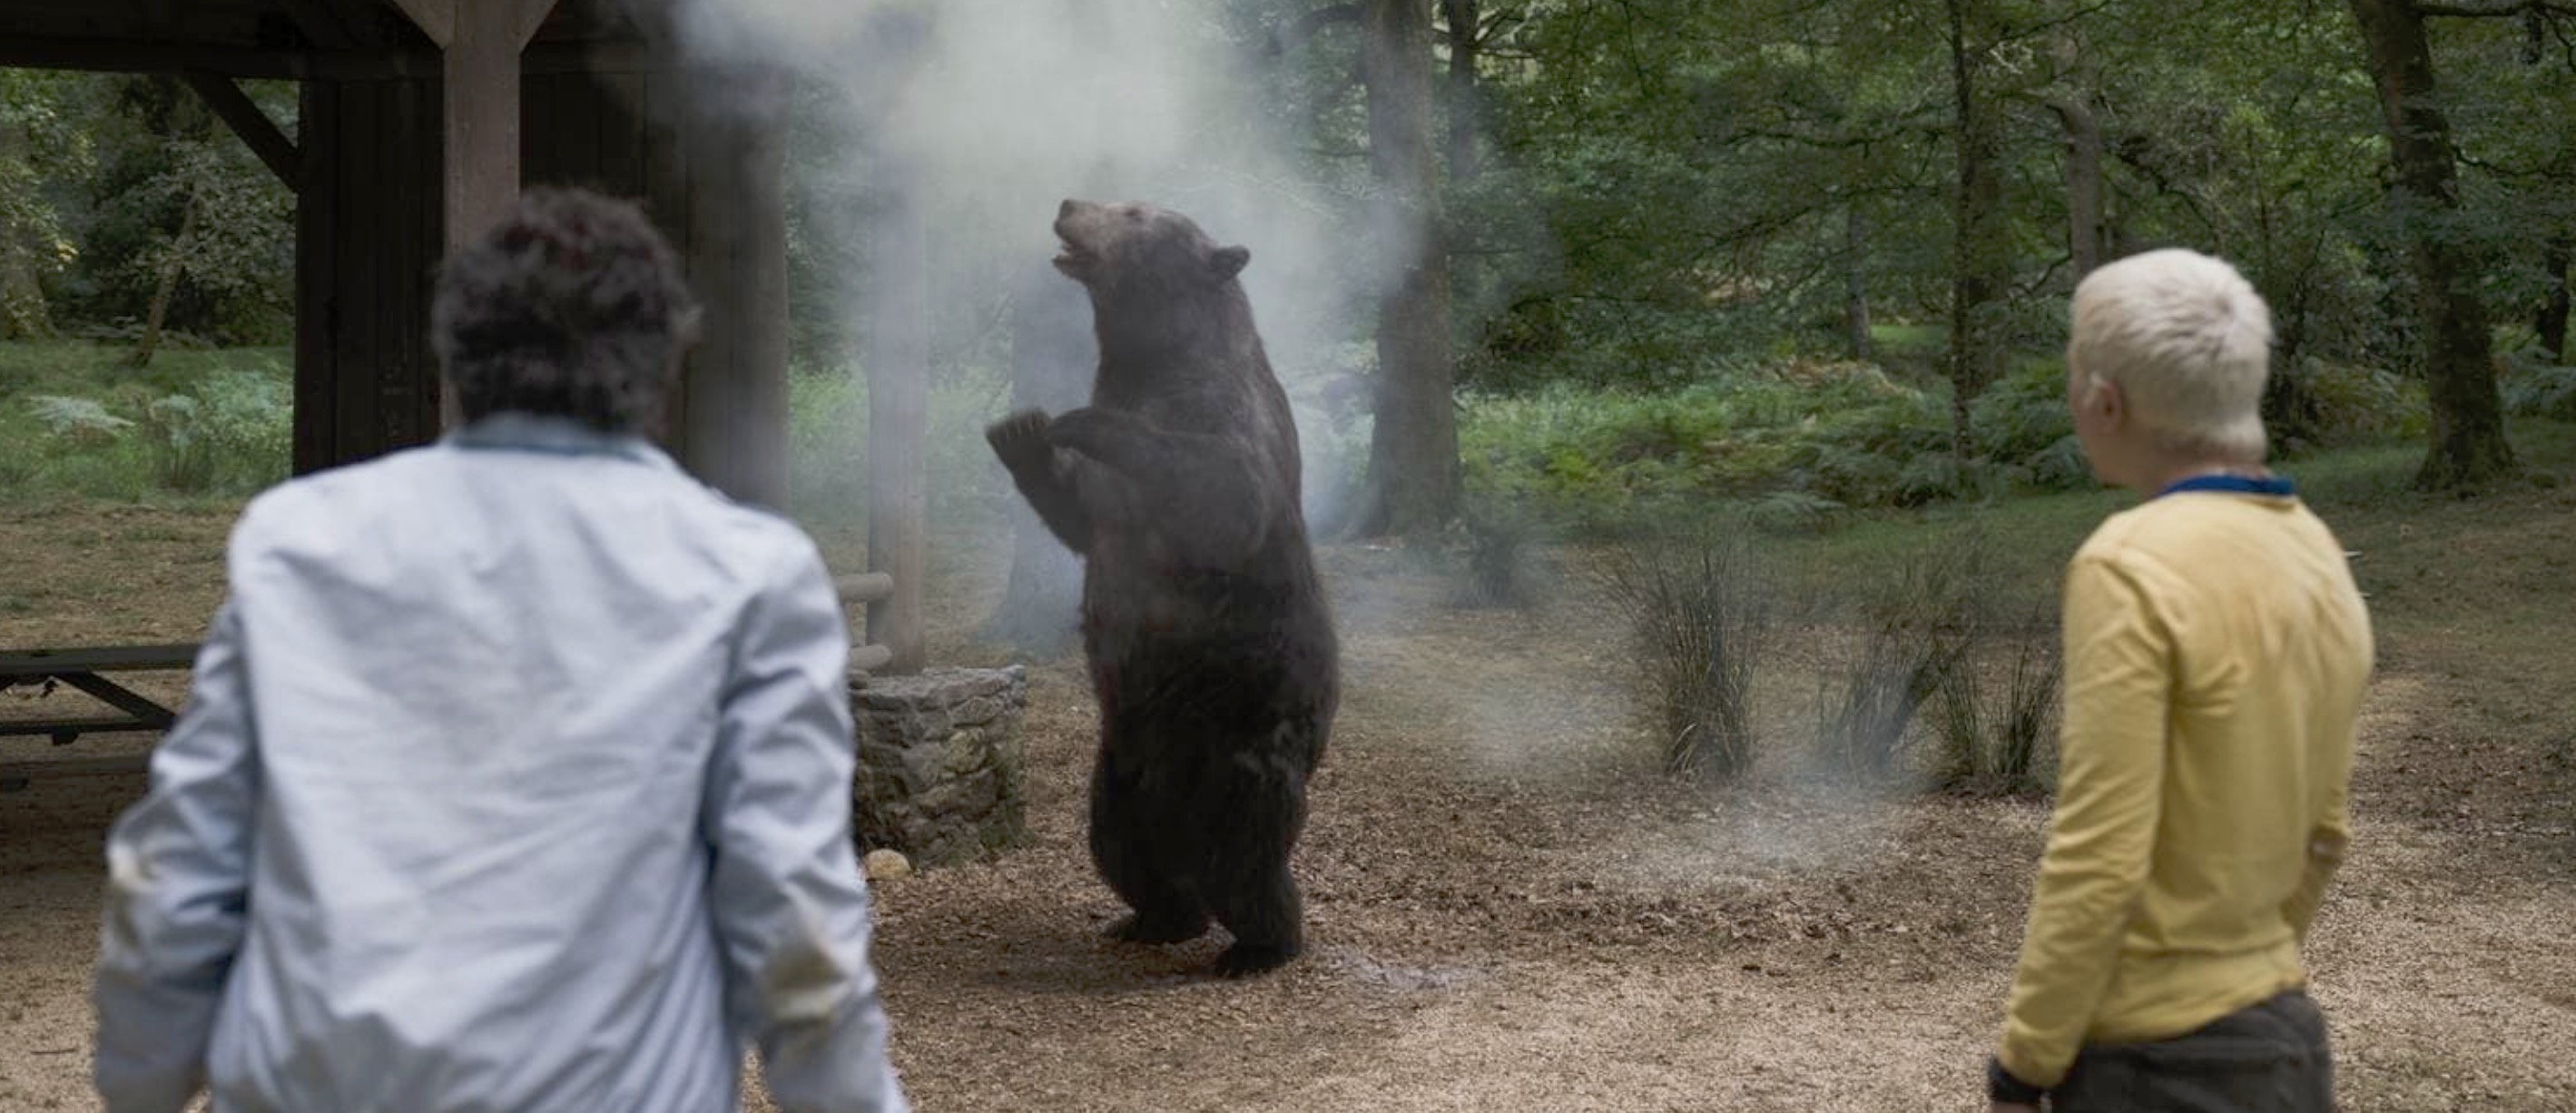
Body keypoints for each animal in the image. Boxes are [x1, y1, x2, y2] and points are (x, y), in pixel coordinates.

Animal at [984, 198, 1340, 978]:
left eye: (1136, 211)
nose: (1068, 205)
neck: (1153, 358)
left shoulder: (1224, 418)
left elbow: (1223, 495)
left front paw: (1076, 421)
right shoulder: (1109, 500)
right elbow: (1082, 516)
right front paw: (1021, 430)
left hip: (1239, 740)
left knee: (1246, 855)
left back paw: (1258, 947)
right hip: (1119, 763)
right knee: (1120, 845)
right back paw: (1150, 919)